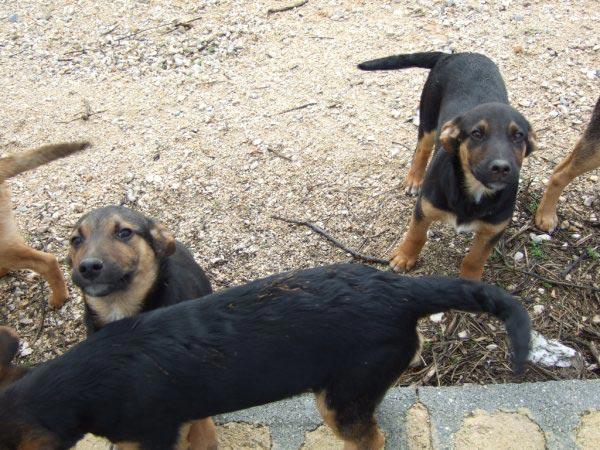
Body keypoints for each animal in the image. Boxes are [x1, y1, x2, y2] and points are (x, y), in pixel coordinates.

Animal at [358, 51, 536, 280]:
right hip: (428, 116)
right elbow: (416, 234)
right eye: (477, 134)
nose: (501, 168)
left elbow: (474, 259)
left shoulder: (493, 230)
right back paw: (414, 179)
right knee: (422, 149)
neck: (474, 190)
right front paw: (404, 258)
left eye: (518, 136)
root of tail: (454, 54)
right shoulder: (424, 207)